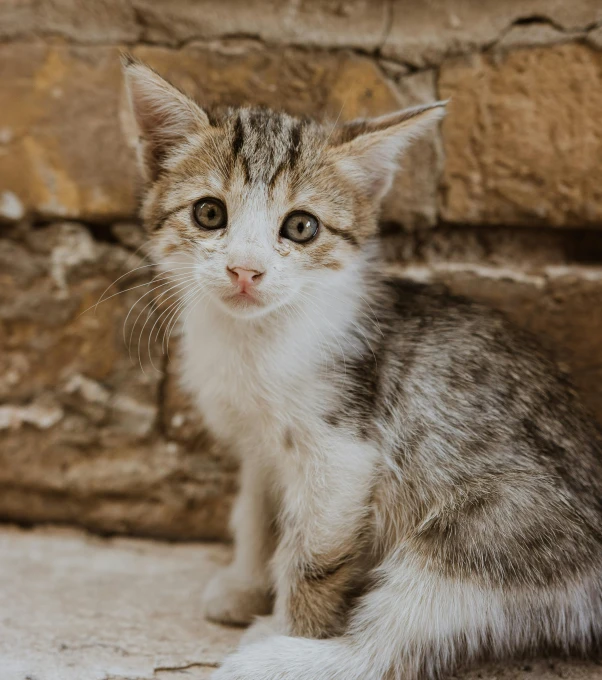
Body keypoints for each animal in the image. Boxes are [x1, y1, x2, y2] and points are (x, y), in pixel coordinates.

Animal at [122, 58, 600, 680]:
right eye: (209, 213)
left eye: (301, 226)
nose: (245, 271)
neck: (255, 340)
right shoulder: (260, 445)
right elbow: (255, 511)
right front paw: (245, 584)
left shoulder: (342, 453)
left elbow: (310, 554)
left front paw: (283, 623)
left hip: (486, 528)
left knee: (384, 652)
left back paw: (276, 659)